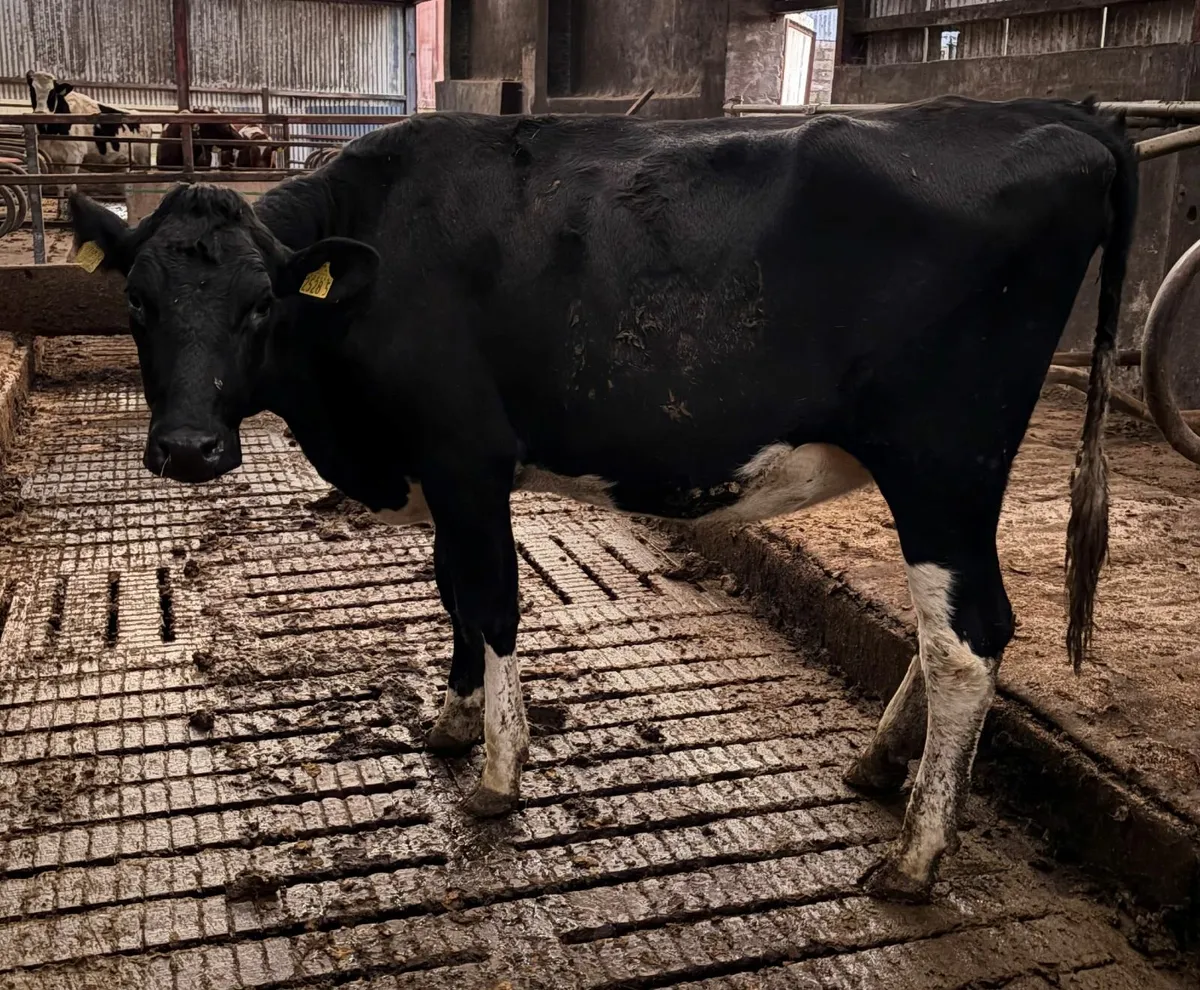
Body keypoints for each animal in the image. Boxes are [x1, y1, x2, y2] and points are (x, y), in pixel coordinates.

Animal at [26, 70, 148, 205]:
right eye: (32, 91)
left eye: (52, 93)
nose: (40, 113)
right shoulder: (55, 158)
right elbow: (60, 185)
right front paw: (60, 208)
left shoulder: (75, 156)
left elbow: (71, 186)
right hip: (123, 165)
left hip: (142, 161)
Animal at [67, 97, 1136, 903]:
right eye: (136, 304)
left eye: (260, 306)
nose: (188, 449)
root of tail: (1062, 115)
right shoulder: (445, 471)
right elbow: (452, 590)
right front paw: (453, 722)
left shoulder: (464, 452)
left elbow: (491, 598)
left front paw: (499, 773)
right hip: (953, 474)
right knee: (957, 627)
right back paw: (882, 767)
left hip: (941, 457)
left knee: (969, 637)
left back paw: (916, 854)